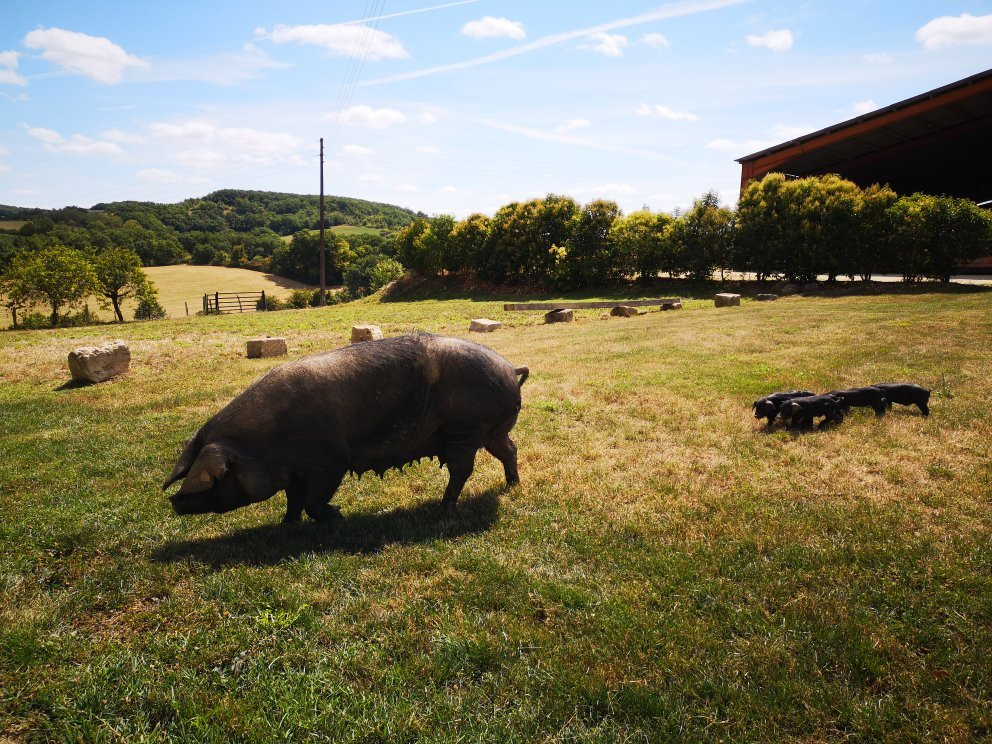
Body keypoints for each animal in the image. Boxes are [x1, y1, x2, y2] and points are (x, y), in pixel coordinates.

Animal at [165, 334, 528, 520]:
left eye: (216, 477)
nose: (174, 503)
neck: (264, 443)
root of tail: (510, 369)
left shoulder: (331, 460)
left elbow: (313, 501)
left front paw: (338, 516)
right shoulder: (295, 471)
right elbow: (293, 500)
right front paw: (286, 524)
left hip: (464, 428)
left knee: (462, 468)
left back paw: (444, 507)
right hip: (491, 430)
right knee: (509, 449)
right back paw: (512, 485)